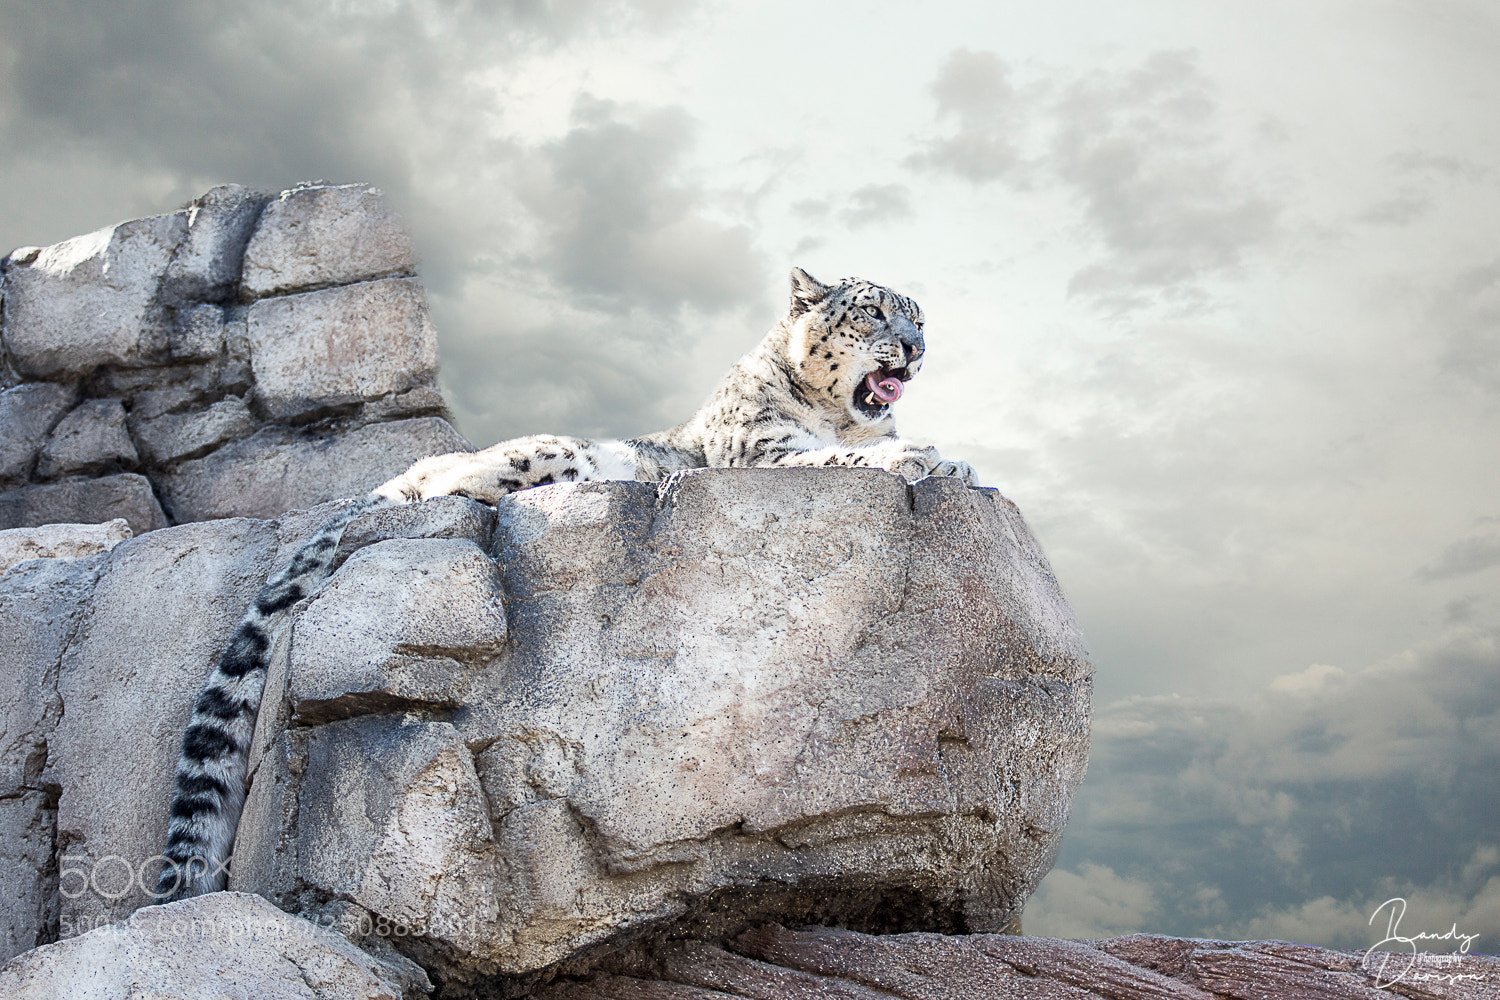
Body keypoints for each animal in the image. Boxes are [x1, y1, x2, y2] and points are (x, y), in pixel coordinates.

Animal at [155, 267, 978, 901]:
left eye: (921, 317)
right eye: (875, 311)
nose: (916, 348)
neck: (846, 418)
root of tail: (401, 473)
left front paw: (949, 461)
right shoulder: (762, 455)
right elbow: (831, 457)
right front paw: (928, 459)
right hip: (543, 456)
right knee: (459, 490)